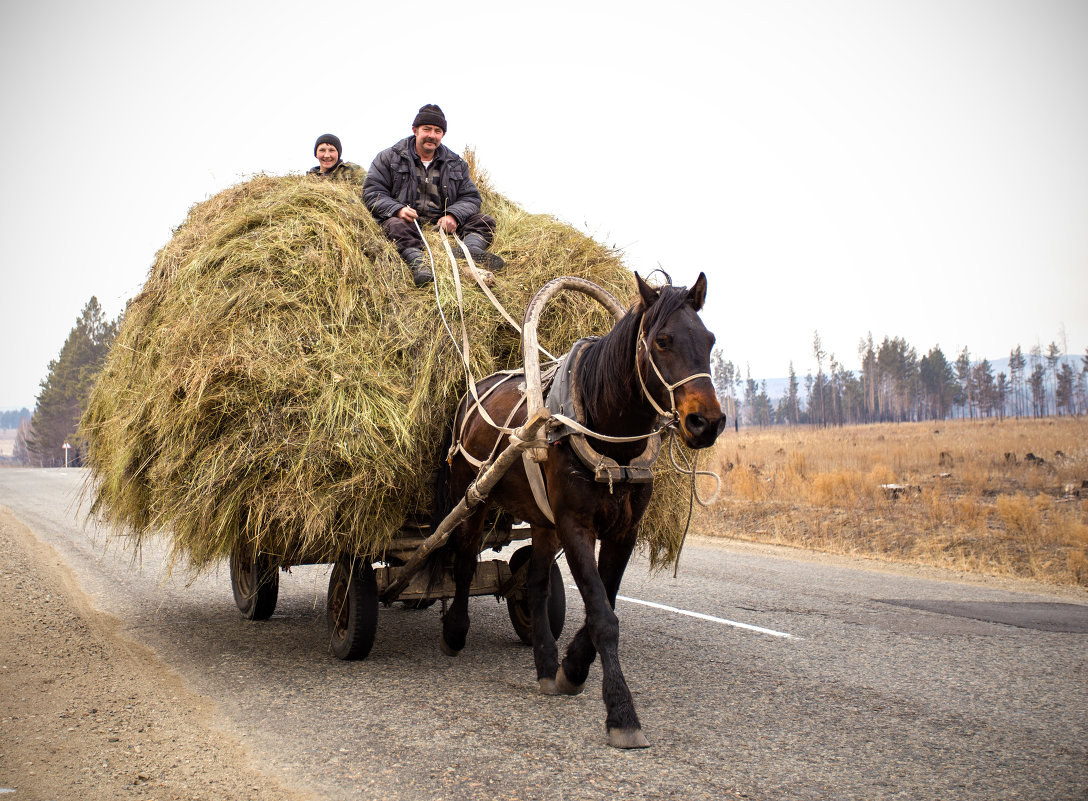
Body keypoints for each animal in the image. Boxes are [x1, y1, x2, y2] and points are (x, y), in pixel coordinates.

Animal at [428, 272, 726, 748]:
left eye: (710, 340)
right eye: (662, 340)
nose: (707, 422)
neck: (607, 433)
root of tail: (473, 394)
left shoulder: (622, 531)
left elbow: (603, 602)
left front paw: (570, 668)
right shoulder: (575, 525)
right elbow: (603, 615)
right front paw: (621, 712)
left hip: (541, 521)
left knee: (534, 584)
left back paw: (546, 663)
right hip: (472, 497)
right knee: (462, 561)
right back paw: (455, 631)